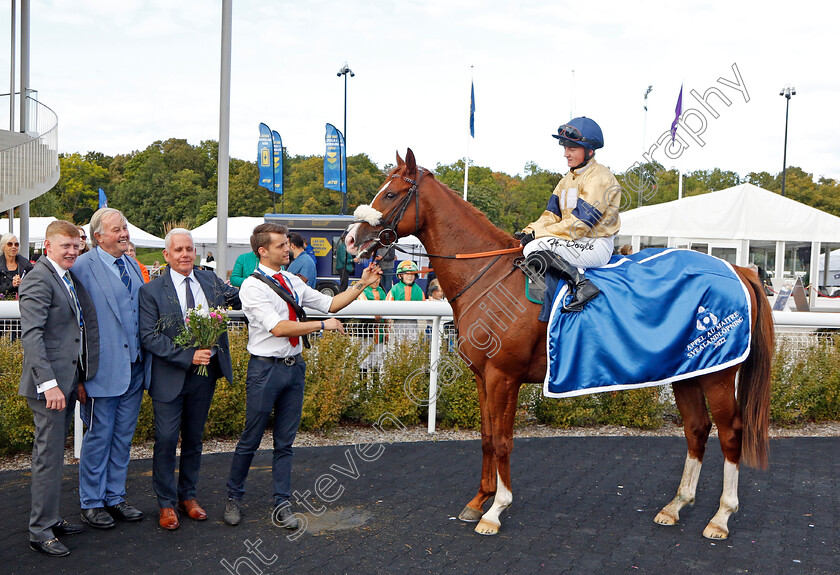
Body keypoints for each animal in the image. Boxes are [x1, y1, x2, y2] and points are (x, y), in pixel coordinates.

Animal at [342, 150, 776, 540]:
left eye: (391, 194)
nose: (350, 239)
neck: (490, 278)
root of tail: (738, 268)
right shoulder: (482, 376)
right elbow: (486, 438)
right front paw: (478, 501)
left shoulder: (504, 376)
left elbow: (503, 441)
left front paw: (496, 510)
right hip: (689, 370)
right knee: (696, 429)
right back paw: (675, 506)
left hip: (719, 374)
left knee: (730, 433)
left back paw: (721, 517)